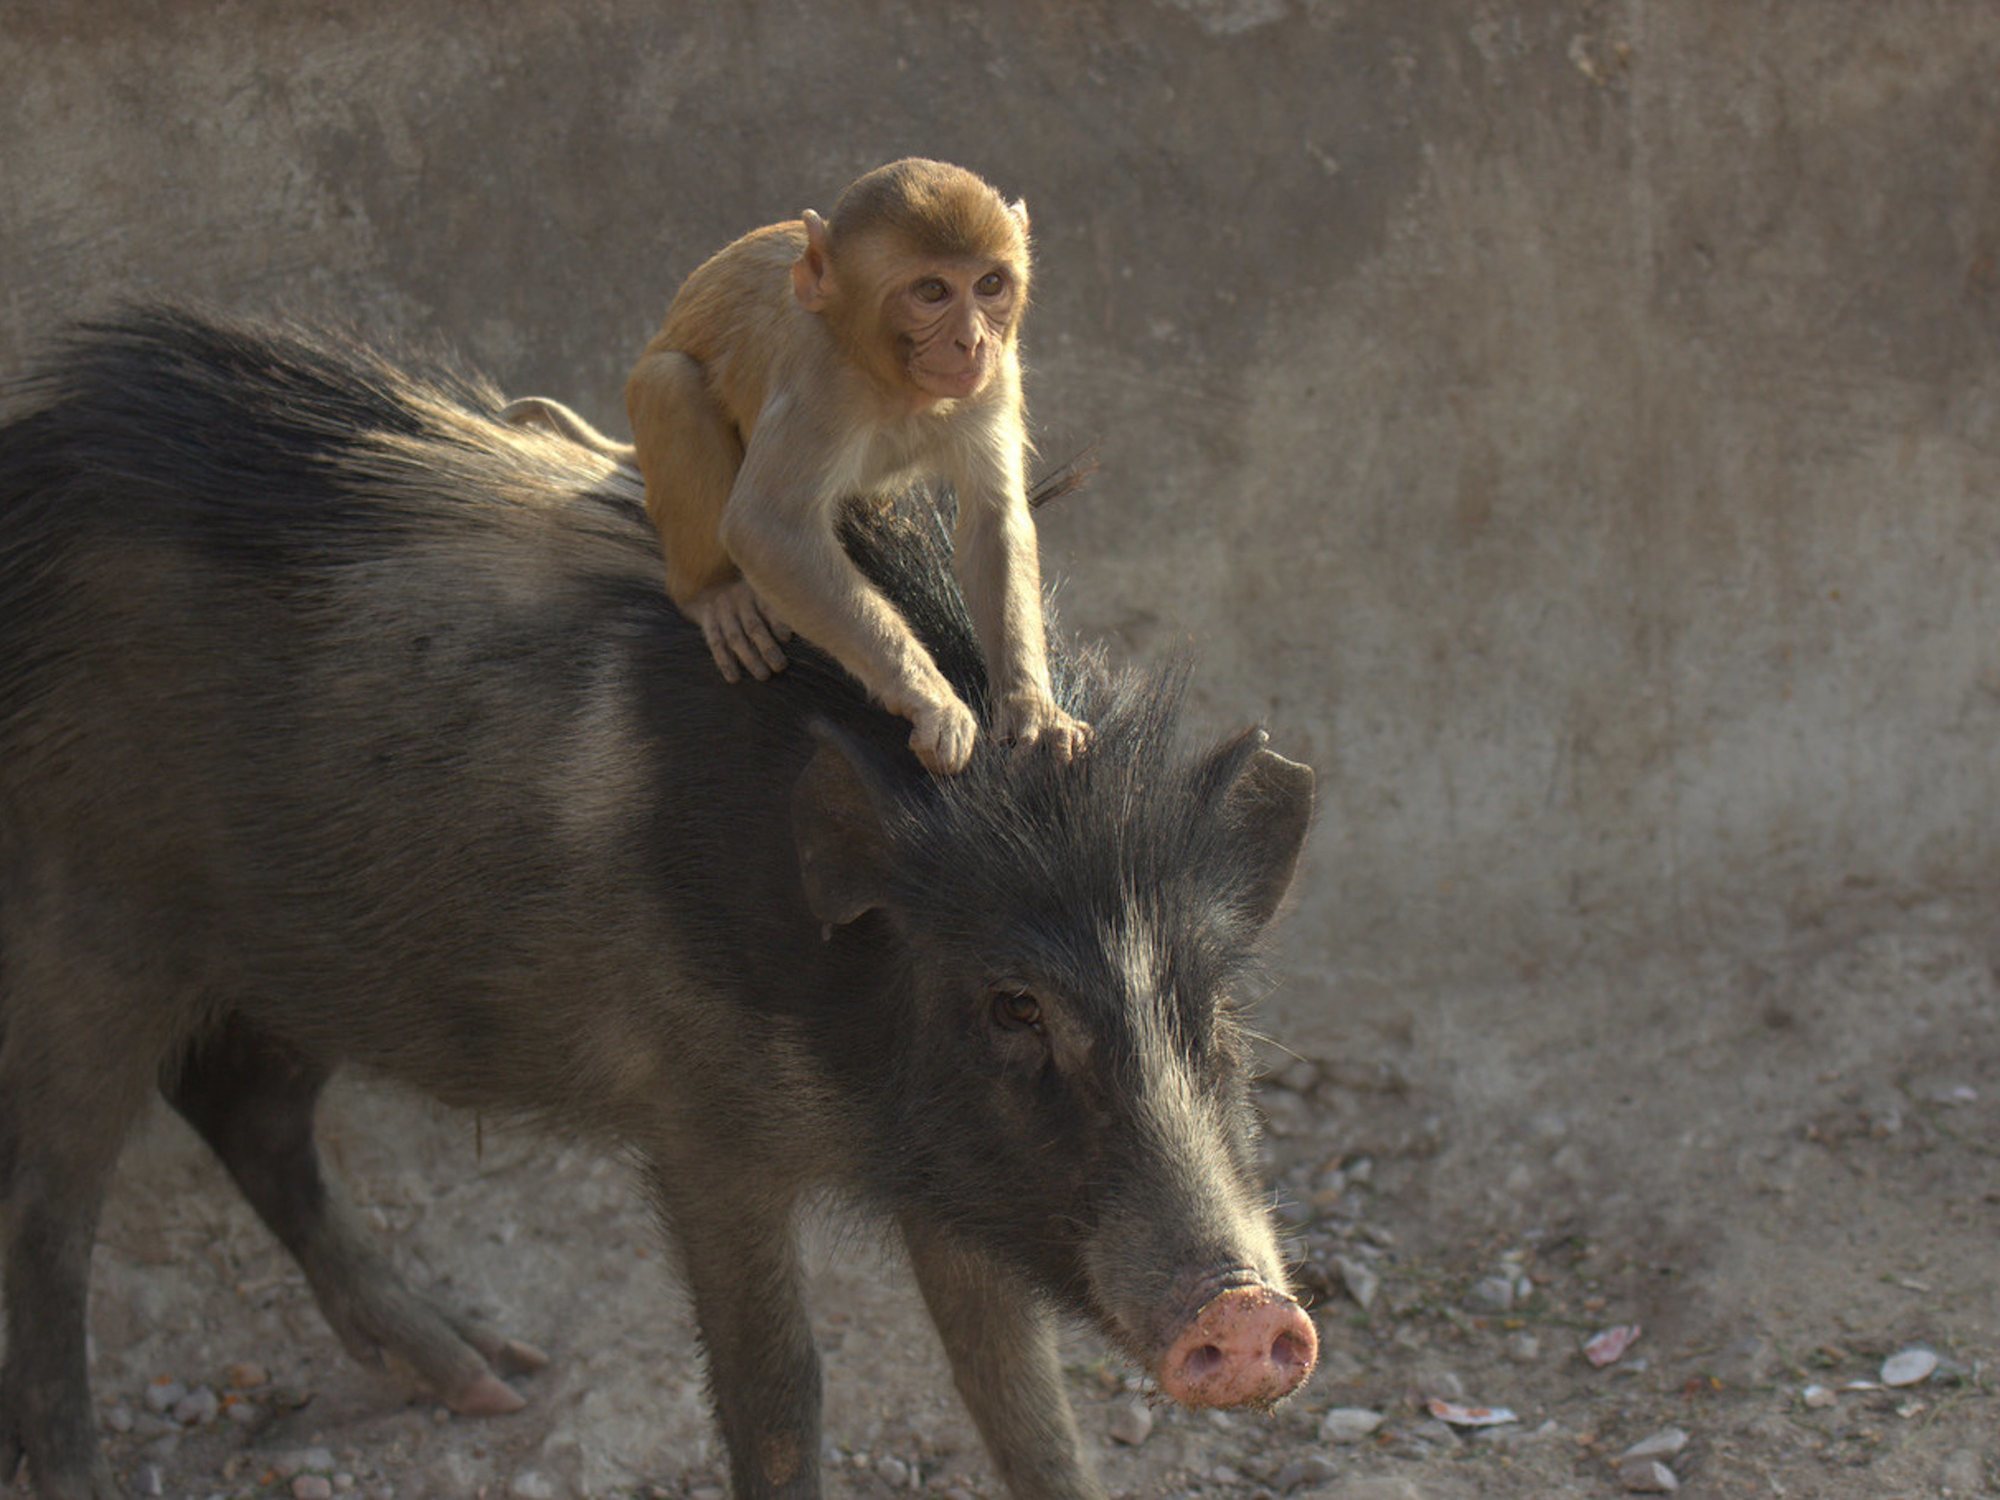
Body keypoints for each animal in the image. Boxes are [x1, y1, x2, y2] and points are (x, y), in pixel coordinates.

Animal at [0, 308, 1320, 1500]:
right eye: (1010, 1004)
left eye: (1214, 1006)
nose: (1251, 1315)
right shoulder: (701, 1127)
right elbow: (780, 1394)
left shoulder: (953, 1173)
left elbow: (1022, 1403)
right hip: (88, 930)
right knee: (53, 1211)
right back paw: (84, 1474)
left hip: (297, 963)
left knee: (244, 1114)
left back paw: (493, 1378)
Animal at [616, 160, 1096, 780]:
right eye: (932, 290)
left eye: (990, 284)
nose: (971, 342)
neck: (895, 380)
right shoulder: (821, 376)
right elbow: (767, 527)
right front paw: (931, 699)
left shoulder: (997, 373)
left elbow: (994, 519)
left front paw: (1033, 708)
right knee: (671, 383)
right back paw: (715, 592)